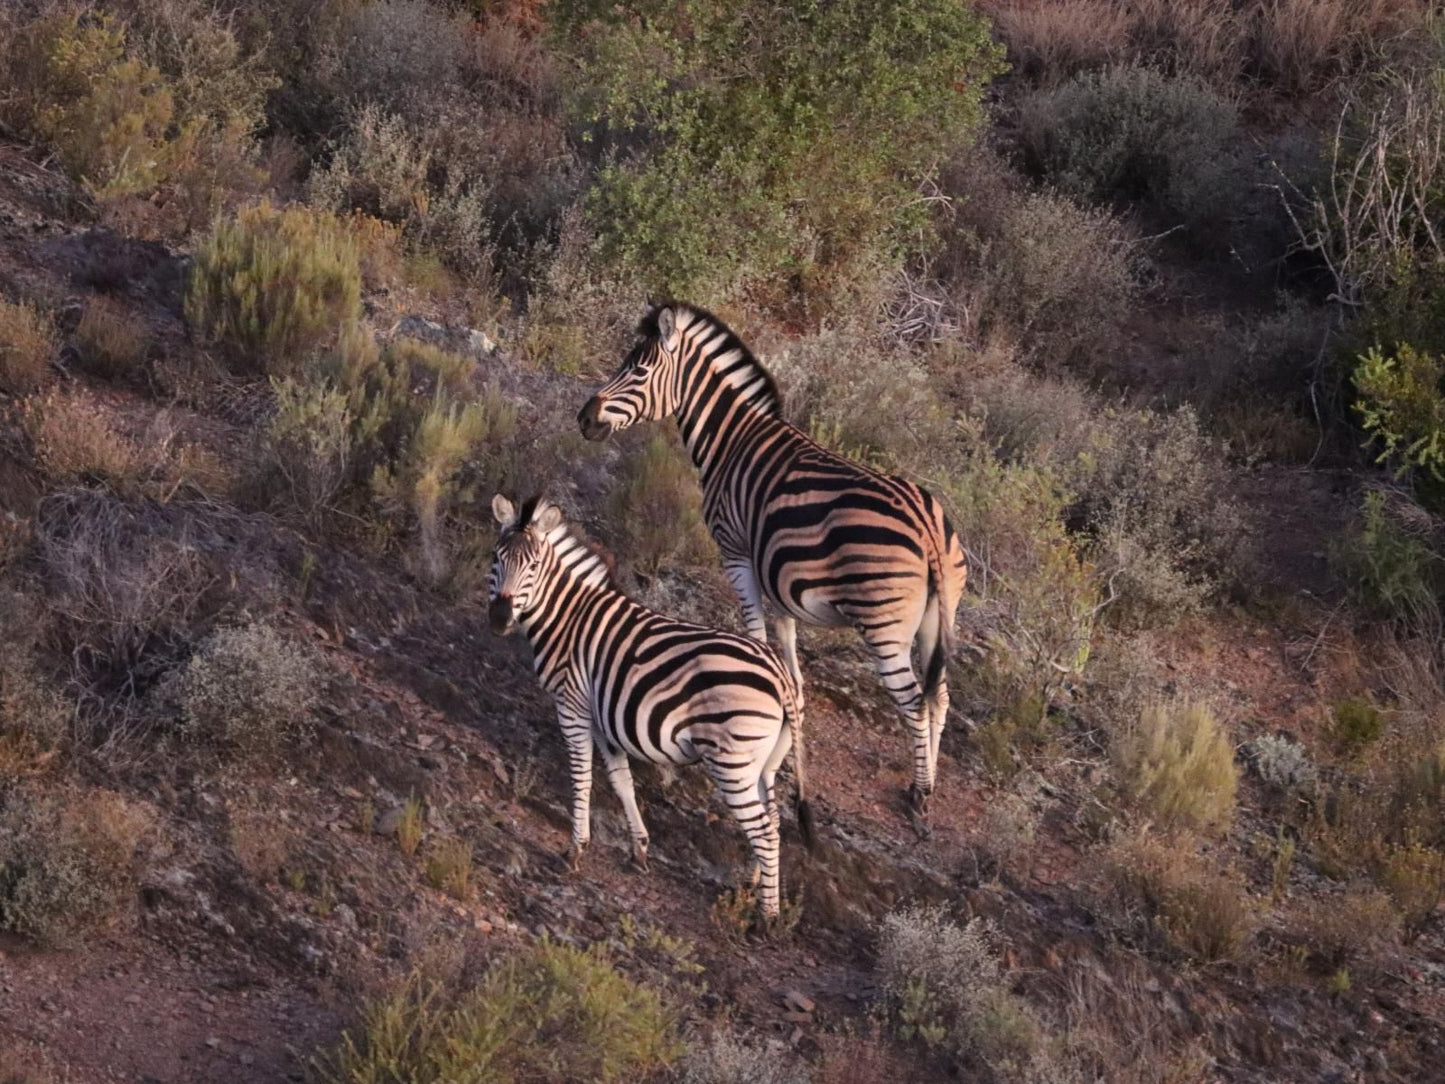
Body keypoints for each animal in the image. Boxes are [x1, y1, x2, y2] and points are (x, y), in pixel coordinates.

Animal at [488, 497, 814, 919]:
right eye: (497, 558)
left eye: (533, 567)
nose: (499, 619)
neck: (568, 618)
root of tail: (779, 674)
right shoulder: (602, 717)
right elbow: (621, 780)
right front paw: (639, 849)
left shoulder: (572, 705)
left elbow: (582, 777)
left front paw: (575, 849)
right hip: (763, 761)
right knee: (772, 820)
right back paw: (754, 886)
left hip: (732, 759)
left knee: (763, 829)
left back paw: (766, 916)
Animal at [578, 306, 971, 838]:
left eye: (637, 371)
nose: (584, 418)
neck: (732, 440)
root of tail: (928, 525)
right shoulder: (781, 584)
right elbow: (792, 672)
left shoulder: (736, 552)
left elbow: (757, 638)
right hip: (935, 615)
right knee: (940, 696)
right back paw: (922, 780)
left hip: (883, 622)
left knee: (912, 700)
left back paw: (920, 795)